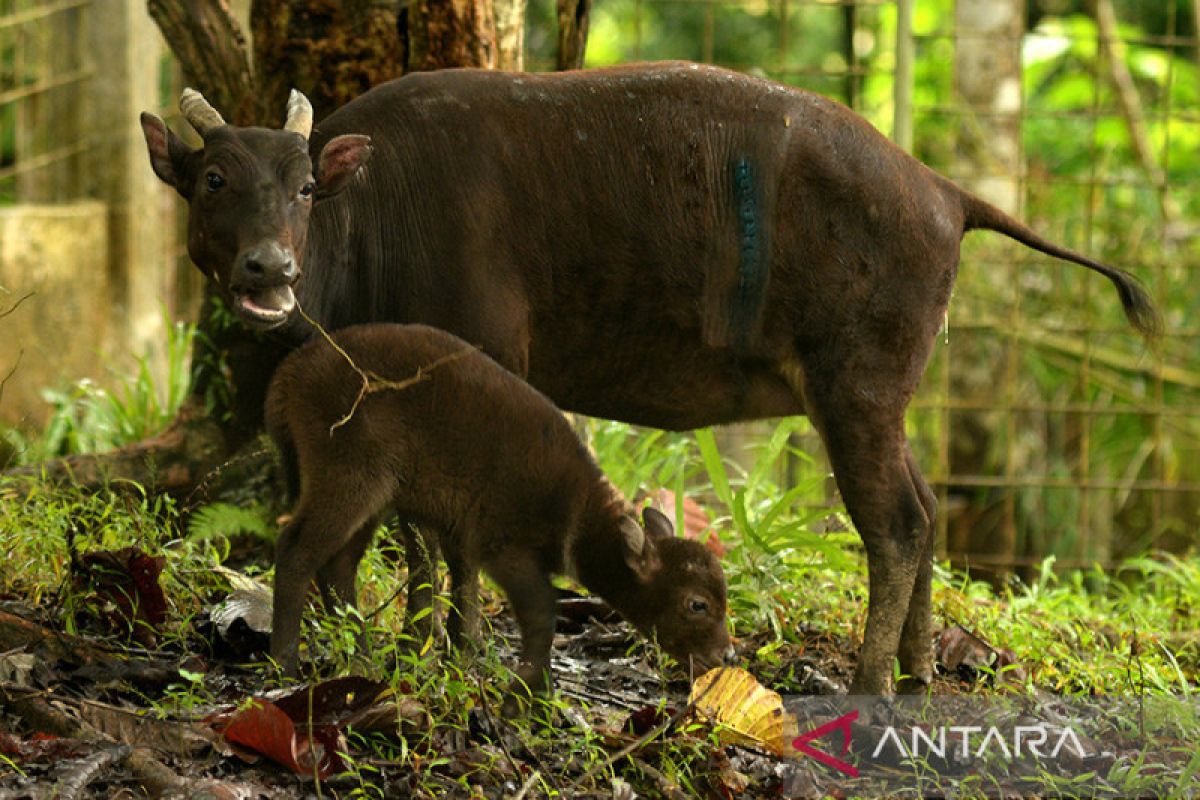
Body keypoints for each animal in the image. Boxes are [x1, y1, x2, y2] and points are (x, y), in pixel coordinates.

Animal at [265, 321, 729, 690]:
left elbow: (462, 599)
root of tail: (289, 375)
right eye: (697, 604)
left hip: (374, 493)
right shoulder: (503, 547)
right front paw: (530, 694)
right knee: (295, 550)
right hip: (350, 475)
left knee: (337, 565)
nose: (726, 656)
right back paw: (284, 666)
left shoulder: (462, 532)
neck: (575, 507)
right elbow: (539, 614)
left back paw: (361, 661)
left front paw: (459, 665)